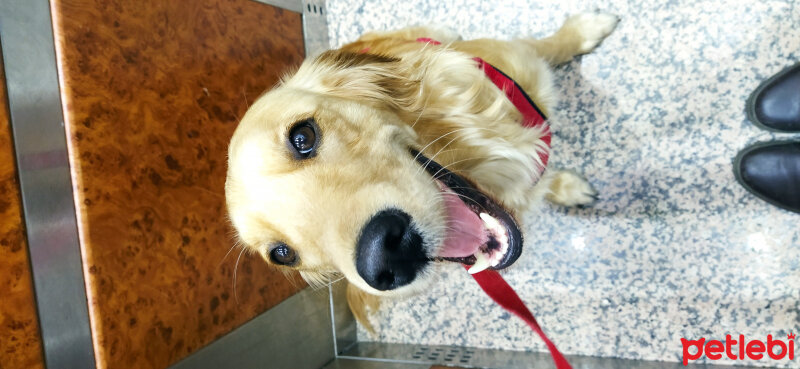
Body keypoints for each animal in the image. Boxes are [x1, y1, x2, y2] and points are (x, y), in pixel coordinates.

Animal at [225, 12, 620, 328]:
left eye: (302, 136)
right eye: (282, 254)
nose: (387, 256)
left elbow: (549, 46)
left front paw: (585, 30)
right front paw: (569, 190)